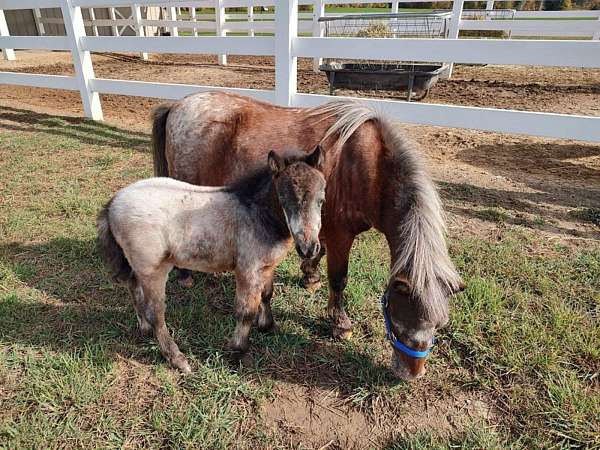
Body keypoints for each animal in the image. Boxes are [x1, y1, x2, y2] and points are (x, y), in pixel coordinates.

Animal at [96, 148, 326, 372]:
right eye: (283, 199)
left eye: (321, 201)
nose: (309, 249)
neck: (257, 214)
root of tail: (113, 203)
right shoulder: (248, 270)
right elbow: (246, 312)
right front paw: (239, 352)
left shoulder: (267, 267)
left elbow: (267, 295)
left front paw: (268, 327)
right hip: (153, 270)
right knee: (155, 313)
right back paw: (177, 359)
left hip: (137, 267)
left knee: (135, 290)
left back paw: (144, 329)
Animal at [151, 91, 464, 380]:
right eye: (398, 324)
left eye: (439, 324)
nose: (410, 375)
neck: (369, 167)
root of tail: (179, 104)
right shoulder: (341, 236)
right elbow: (339, 279)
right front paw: (340, 324)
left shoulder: (321, 228)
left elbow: (316, 252)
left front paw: (310, 277)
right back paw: (184, 275)